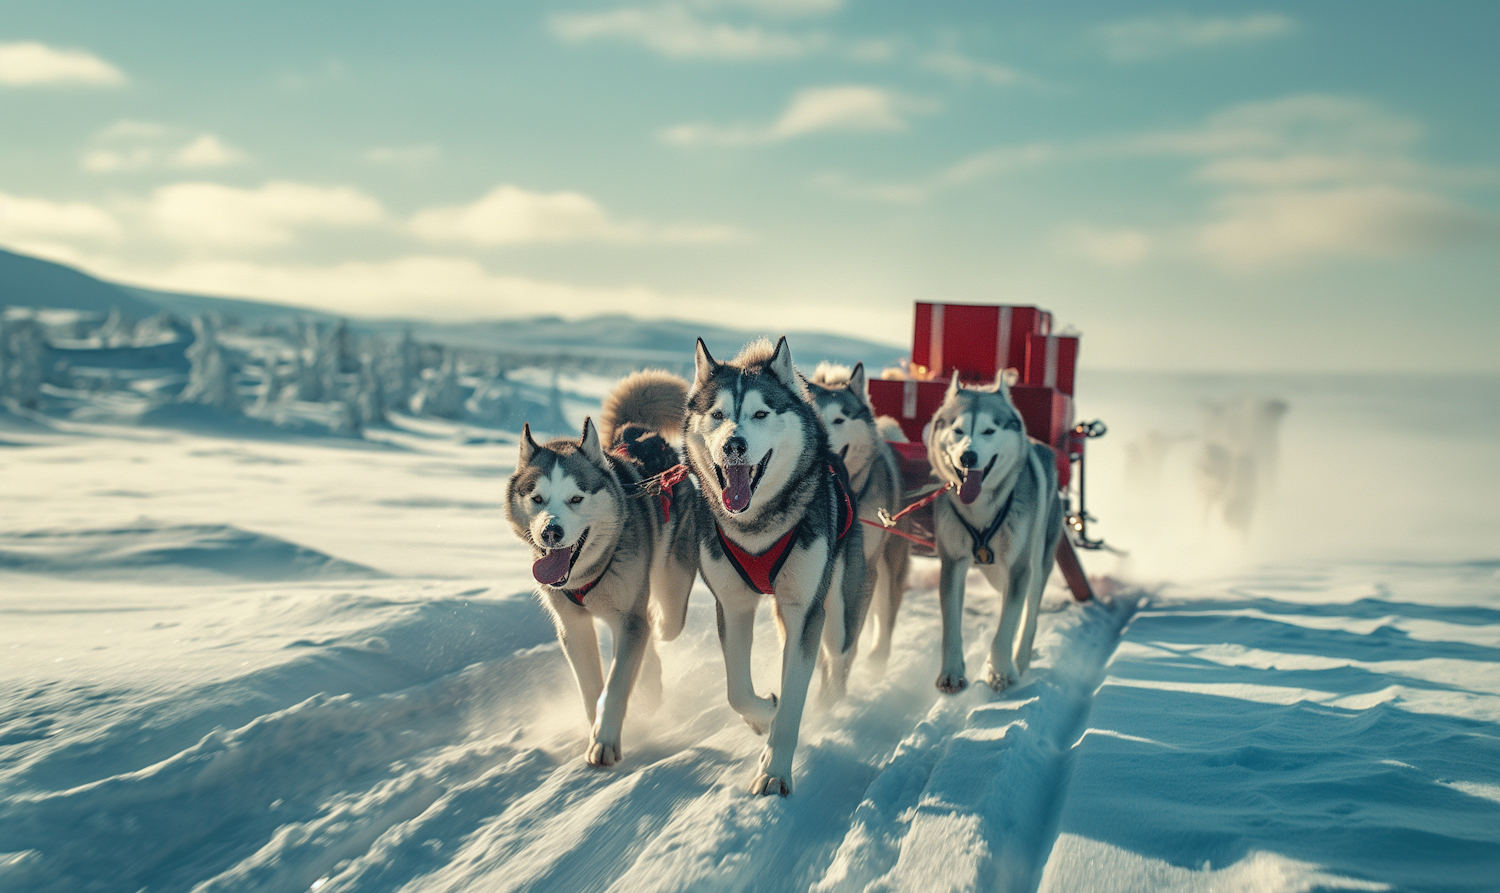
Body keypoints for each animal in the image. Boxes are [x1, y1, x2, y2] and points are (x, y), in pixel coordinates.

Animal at [501, 370, 693, 768]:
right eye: (537, 498)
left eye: (576, 498)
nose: (551, 531)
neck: (587, 573)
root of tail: (635, 433)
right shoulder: (573, 627)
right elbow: (592, 687)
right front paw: (595, 728)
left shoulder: (630, 614)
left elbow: (616, 684)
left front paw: (605, 741)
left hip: (670, 592)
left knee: (660, 625)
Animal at [684, 339, 864, 798]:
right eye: (718, 415)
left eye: (761, 414)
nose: (734, 445)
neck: (757, 527)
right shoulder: (733, 606)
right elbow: (737, 691)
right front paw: (764, 712)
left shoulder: (805, 612)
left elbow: (794, 701)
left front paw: (775, 771)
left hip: (837, 610)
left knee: (838, 659)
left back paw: (835, 708)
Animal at [924, 373, 1068, 696]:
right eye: (958, 430)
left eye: (989, 430)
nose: (968, 456)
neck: (980, 509)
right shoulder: (952, 563)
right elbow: (951, 627)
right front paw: (952, 674)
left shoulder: (1019, 567)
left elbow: (1007, 624)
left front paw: (1002, 672)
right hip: (993, 571)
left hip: (1038, 559)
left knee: (1028, 614)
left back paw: (1021, 658)